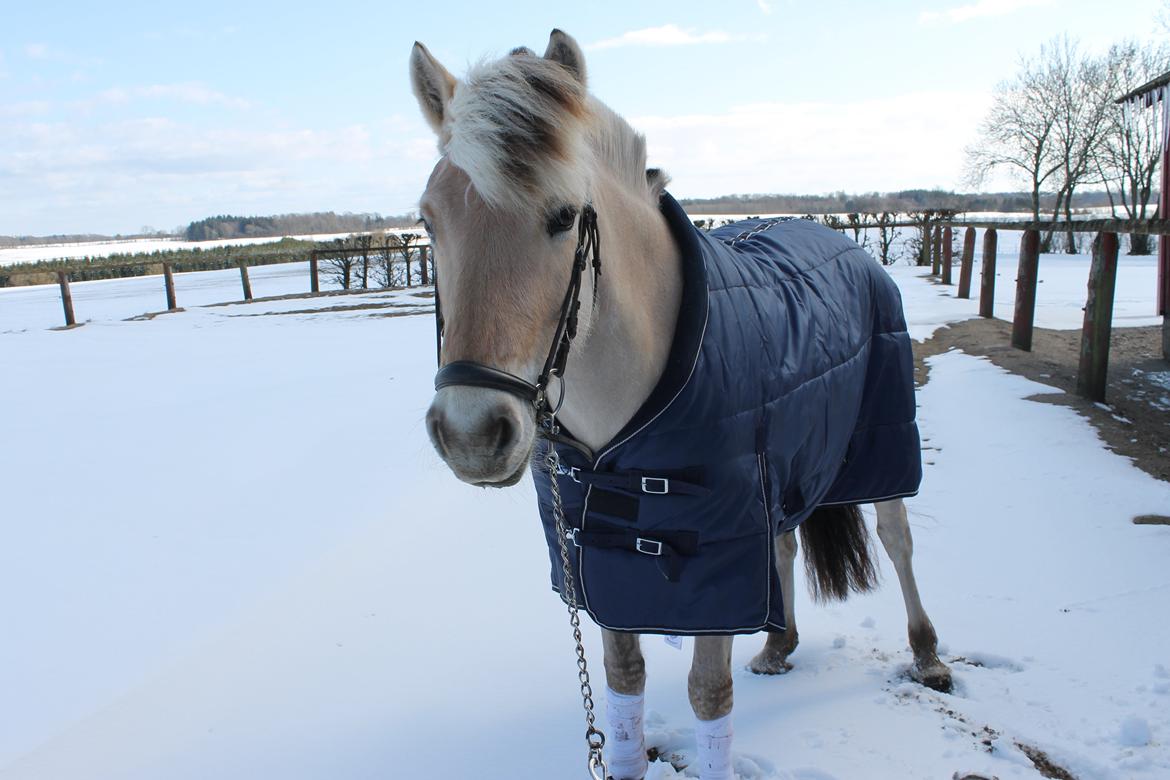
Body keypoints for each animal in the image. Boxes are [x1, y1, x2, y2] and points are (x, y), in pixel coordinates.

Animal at [414, 30, 950, 780]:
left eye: (562, 216)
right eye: (428, 220)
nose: (470, 433)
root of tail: (840, 237)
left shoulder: (714, 567)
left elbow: (708, 692)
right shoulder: (604, 563)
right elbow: (624, 678)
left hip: (881, 444)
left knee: (898, 540)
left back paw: (927, 654)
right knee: (785, 542)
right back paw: (779, 644)